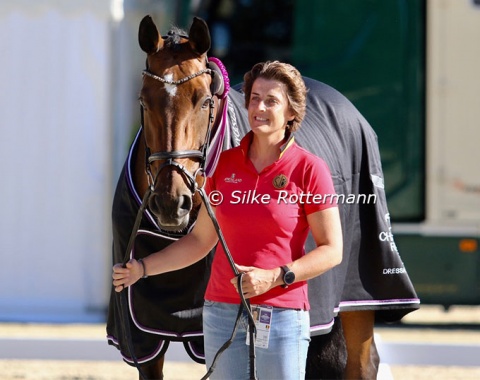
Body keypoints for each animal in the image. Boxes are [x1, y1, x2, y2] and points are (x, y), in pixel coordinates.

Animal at [107, 15, 418, 380]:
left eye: (204, 100)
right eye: (144, 100)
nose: (171, 203)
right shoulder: (141, 339)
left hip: (357, 301)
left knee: (362, 362)